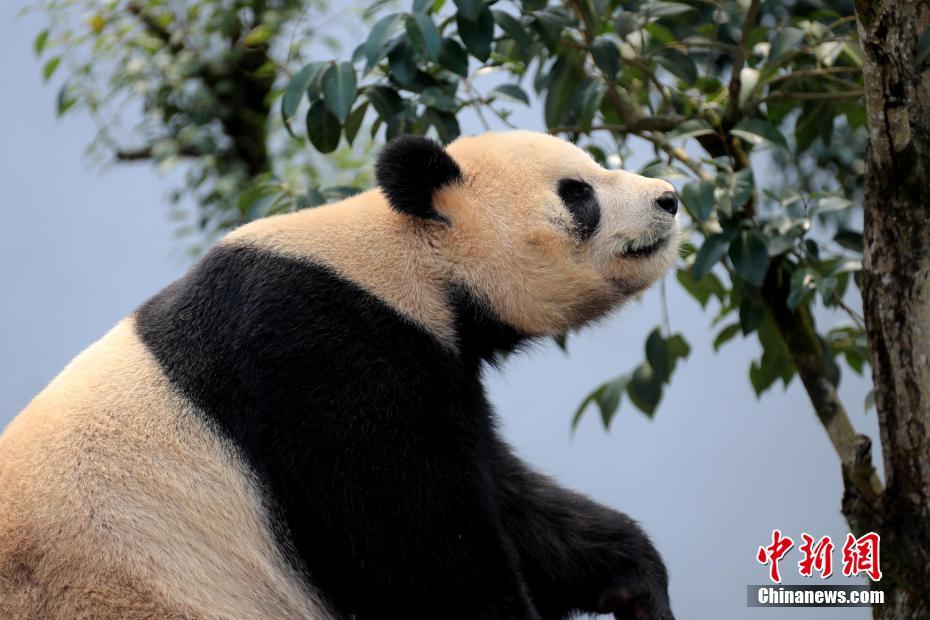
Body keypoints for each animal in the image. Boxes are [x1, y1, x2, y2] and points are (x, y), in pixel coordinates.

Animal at [3, 131, 676, 620]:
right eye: (578, 192)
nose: (669, 197)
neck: (403, 258)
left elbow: (515, 504)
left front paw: (633, 582)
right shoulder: (327, 359)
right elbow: (421, 548)